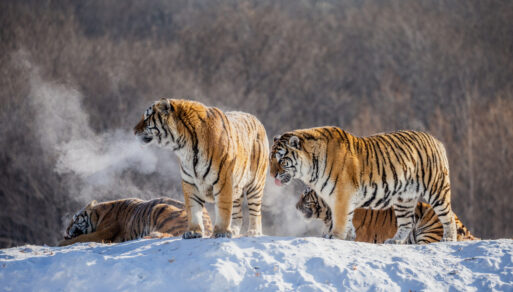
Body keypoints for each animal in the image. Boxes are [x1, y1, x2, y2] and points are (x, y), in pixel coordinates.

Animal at [58, 196, 212, 246]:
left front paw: (60, 243)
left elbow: (81, 238)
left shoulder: (103, 232)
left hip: (159, 207)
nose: (65, 231)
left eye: (75, 219)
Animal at [133, 99, 268, 238]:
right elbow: (193, 210)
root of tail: (255, 118)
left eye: (147, 117)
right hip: (237, 187)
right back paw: (234, 231)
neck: (184, 146)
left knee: (255, 211)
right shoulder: (190, 182)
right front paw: (193, 232)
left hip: (255, 184)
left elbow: (223, 209)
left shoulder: (223, 181)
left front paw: (221, 232)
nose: (134, 130)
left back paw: (253, 231)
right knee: (237, 212)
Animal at [270, 128, 458, 244]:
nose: (272, 175)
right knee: (407, 222)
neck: (311, 169)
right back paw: (395, 240)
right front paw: (349, 235)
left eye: (281, 160)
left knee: (447, 216)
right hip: (404, 199)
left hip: (436, 189)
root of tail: (436, 140)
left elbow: (340, 218)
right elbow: (347, 219)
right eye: (271, 159)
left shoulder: (342, 195)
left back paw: (449, 239)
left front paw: (335, 237)